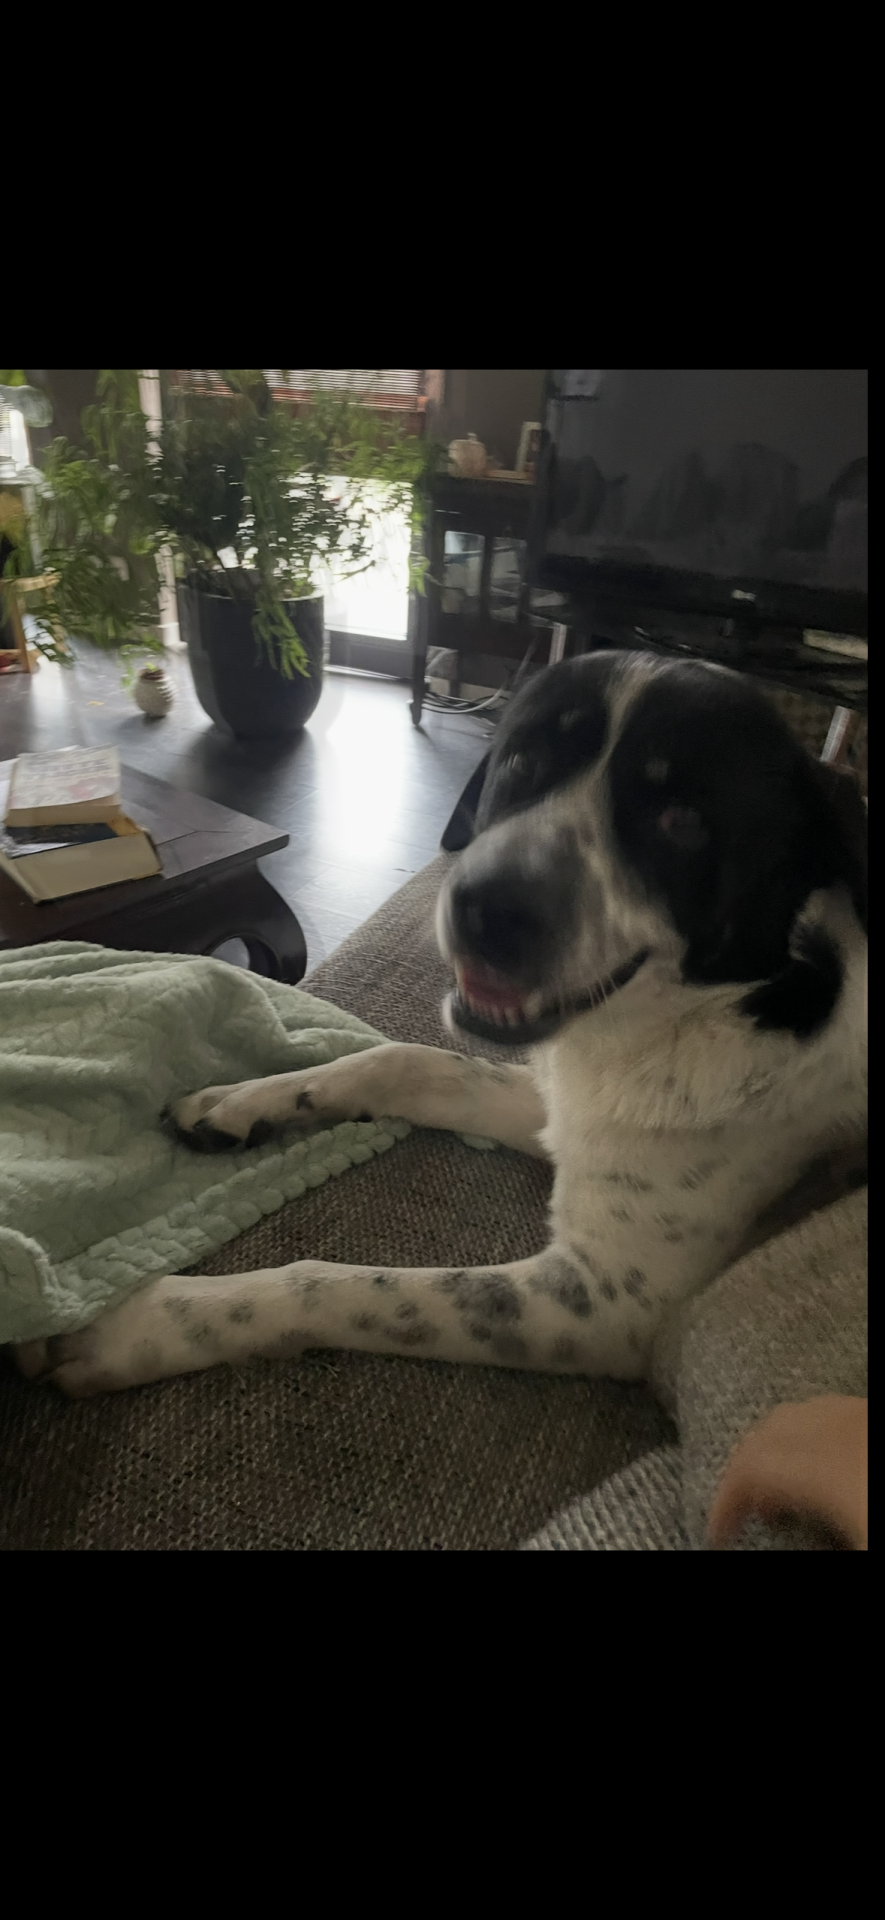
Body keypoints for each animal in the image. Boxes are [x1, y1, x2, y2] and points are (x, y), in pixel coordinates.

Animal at [16, 650, 868, 1398]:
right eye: (520, 761)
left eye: (682, 819)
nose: (486, 908)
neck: (718, 1007)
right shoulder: (558, 1108)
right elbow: (408, 1062)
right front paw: (238, 1102)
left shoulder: (602, 1302)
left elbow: (332, 1284)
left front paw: (139, 1326)